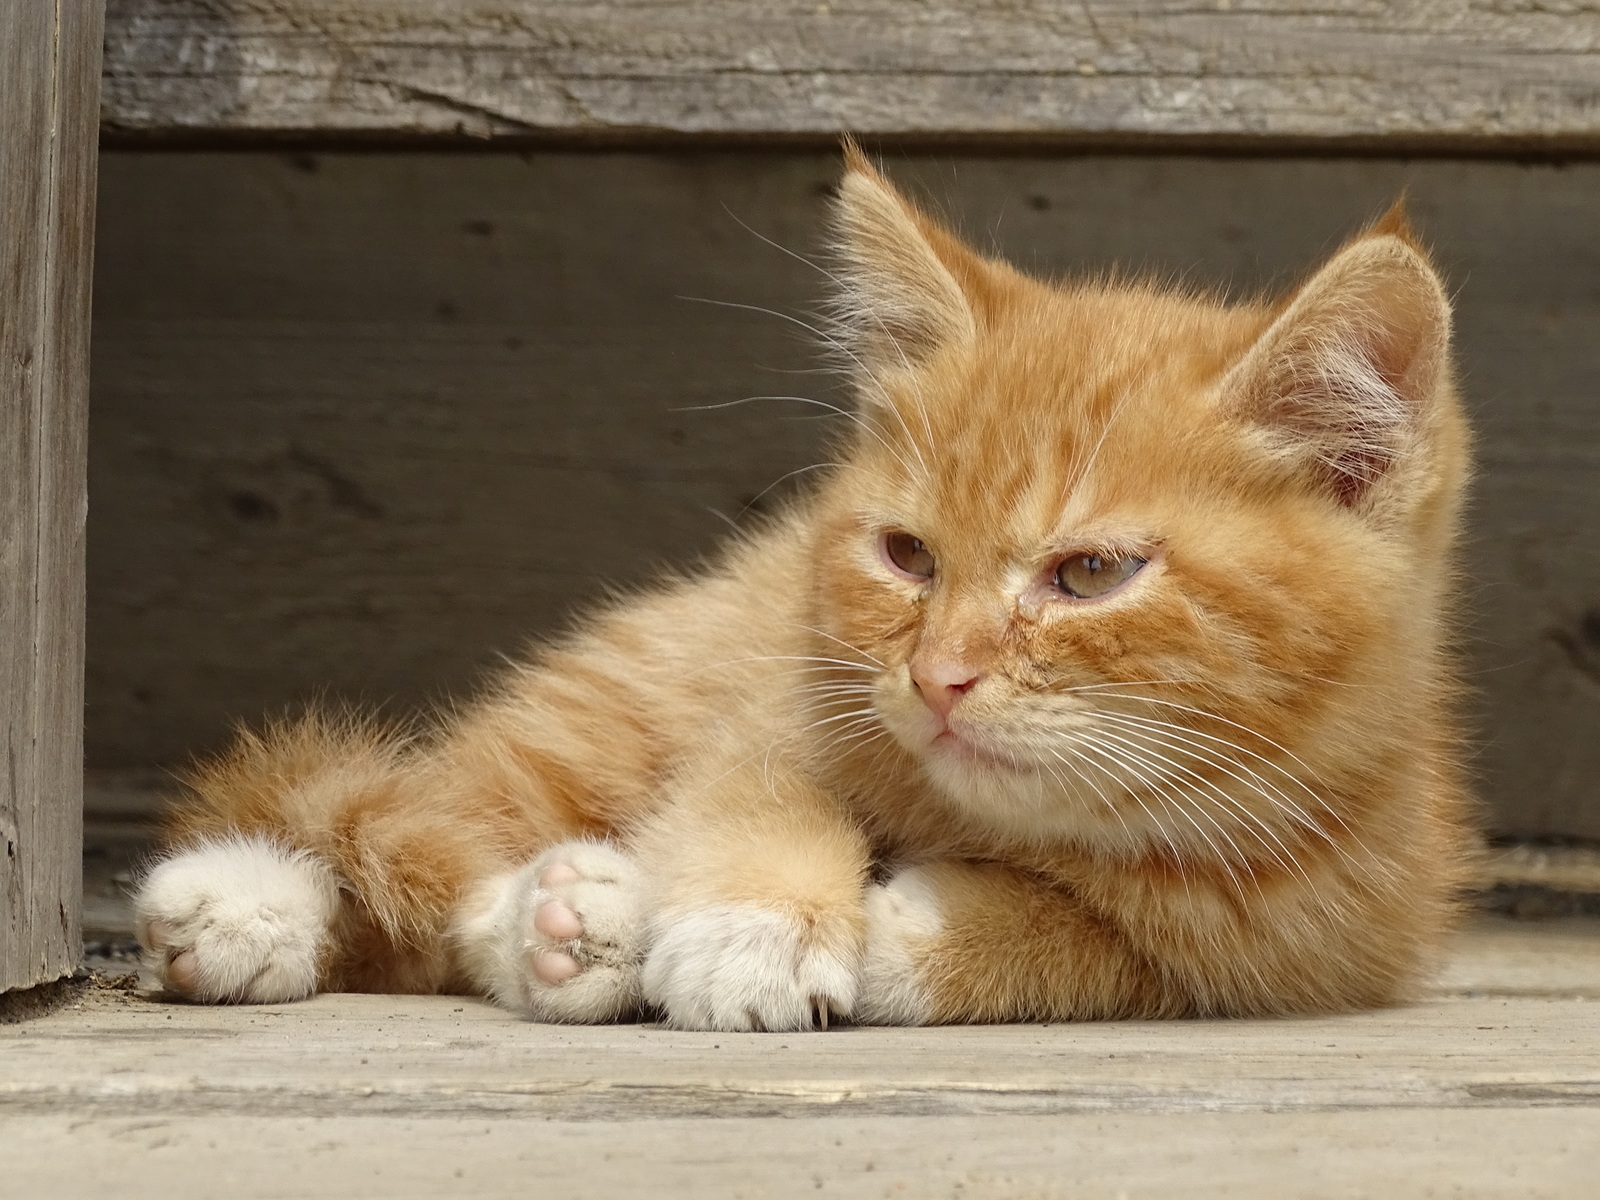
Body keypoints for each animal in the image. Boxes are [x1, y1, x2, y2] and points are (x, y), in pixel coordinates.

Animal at [137, 148, 1472, 1036]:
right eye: (908, 557)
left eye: (1089, 574)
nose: (937, 678)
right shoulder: (783, 702)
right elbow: (755, 792)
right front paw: (755, 924)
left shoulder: (1295, 938)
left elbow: (1083, 940)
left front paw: (875, 934)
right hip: (605, 709)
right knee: (432, 825)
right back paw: (256, 907)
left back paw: (567, 922)